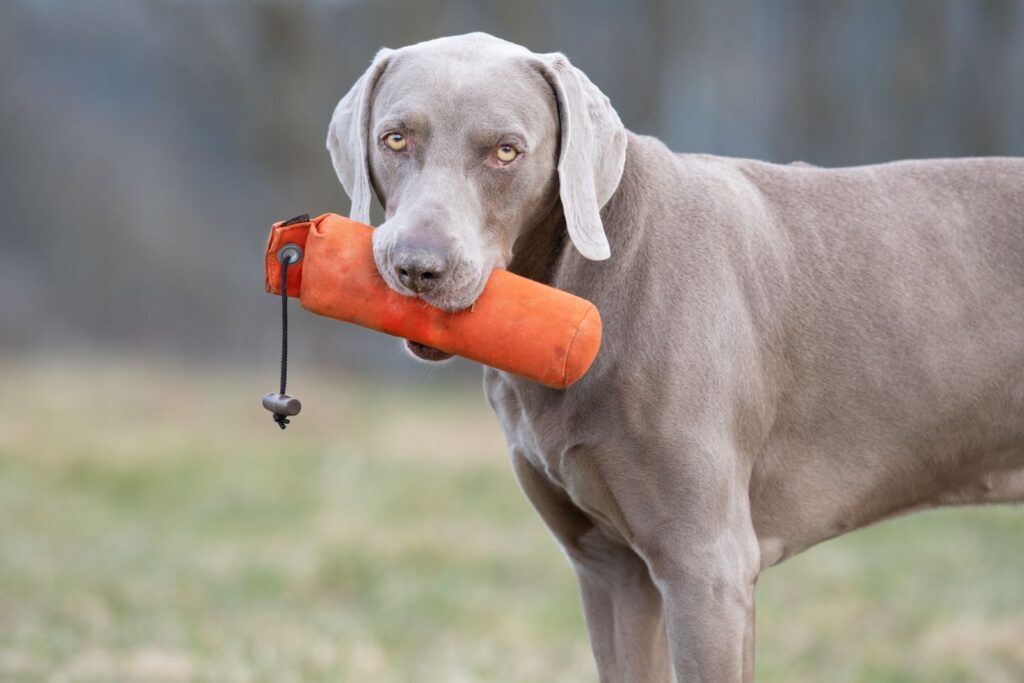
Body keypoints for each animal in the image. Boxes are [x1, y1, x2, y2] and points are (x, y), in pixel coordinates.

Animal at [325, 31, 1024, 683]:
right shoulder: (610, 568)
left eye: (506, 151)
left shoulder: (707, 569)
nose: (417, 268)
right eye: (394, 139)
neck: (590, 291)